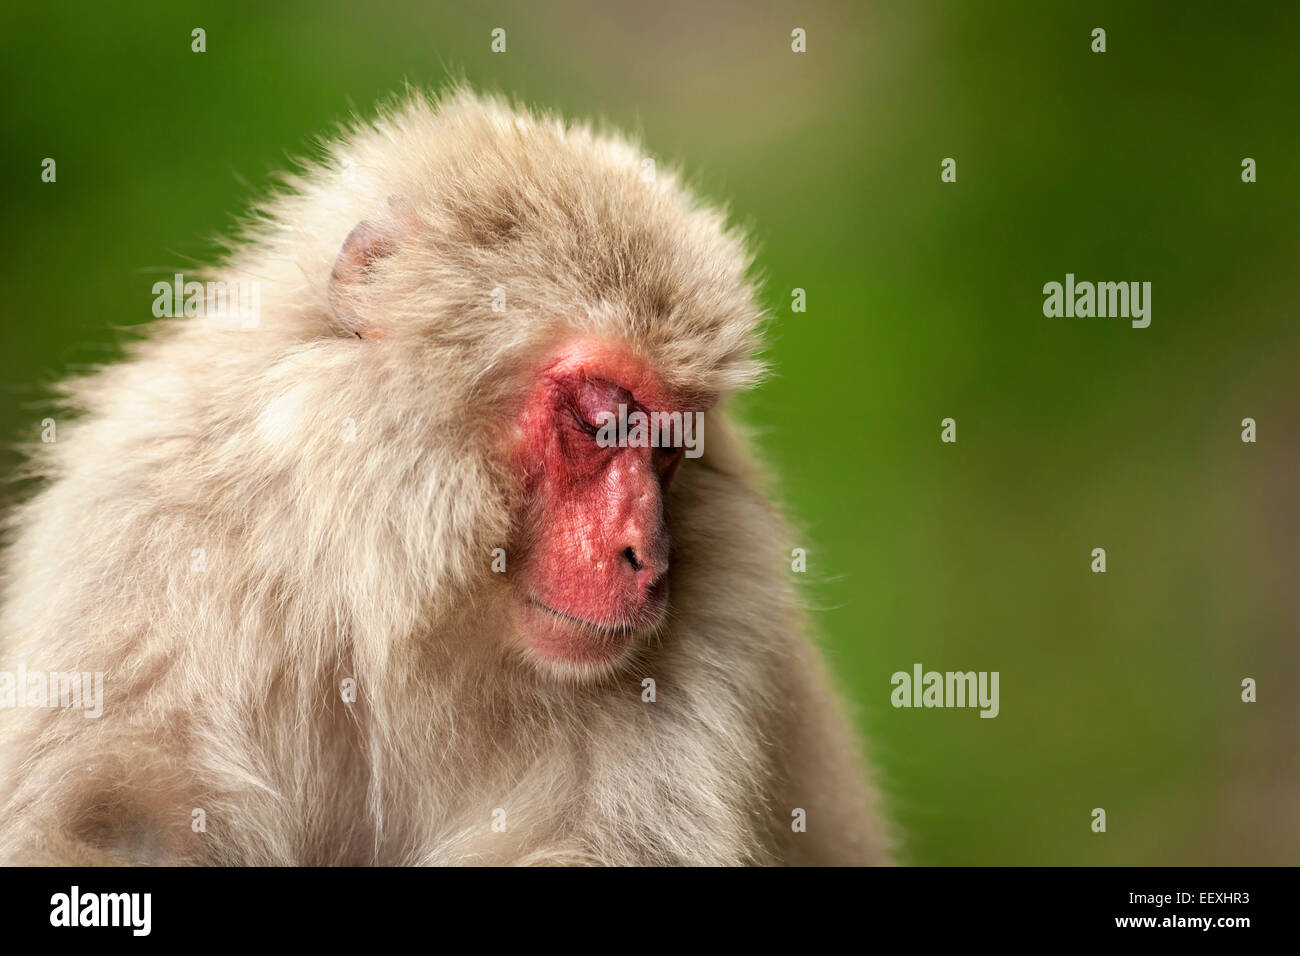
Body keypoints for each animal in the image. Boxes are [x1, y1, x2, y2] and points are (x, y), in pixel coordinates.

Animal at [0, 88, 891, 866]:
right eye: (602, 422)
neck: (395, 602)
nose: (649, 555)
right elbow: (107, 817)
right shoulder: (151, 520)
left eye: (670, 445)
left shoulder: (718, 619)